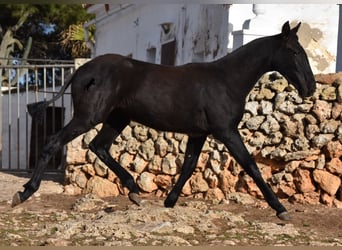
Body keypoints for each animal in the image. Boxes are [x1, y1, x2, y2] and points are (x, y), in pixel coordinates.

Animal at [13, 22, 316, 221]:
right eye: (295, 52)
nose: (310, 88)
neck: (227, 80)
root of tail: (81, 71)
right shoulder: (226, 131)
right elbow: (251, 166)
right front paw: (281, 209)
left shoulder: (199, 134)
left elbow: (188, 167)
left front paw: (169, 202)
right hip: (89, 116)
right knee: (55, 141)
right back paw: (25, 192)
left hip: (117, 118)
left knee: (99, 146)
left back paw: (134, 190)